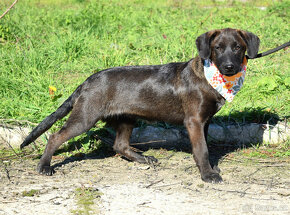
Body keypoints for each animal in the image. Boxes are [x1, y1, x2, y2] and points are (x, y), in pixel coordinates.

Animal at [21, 28, 260, 183]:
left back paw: (143, 158)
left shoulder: (206, 121)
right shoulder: (194, 121)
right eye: (217, 48)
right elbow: (201, 149)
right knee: (55, 136)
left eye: (237, 48)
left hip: (127, 117)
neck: (209, 76)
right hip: (85, 117)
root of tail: (87, 81)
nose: (229, 67)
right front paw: (208, 174)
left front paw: (211, 167)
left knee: (120, 145)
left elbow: (206, 146)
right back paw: (44, 166)